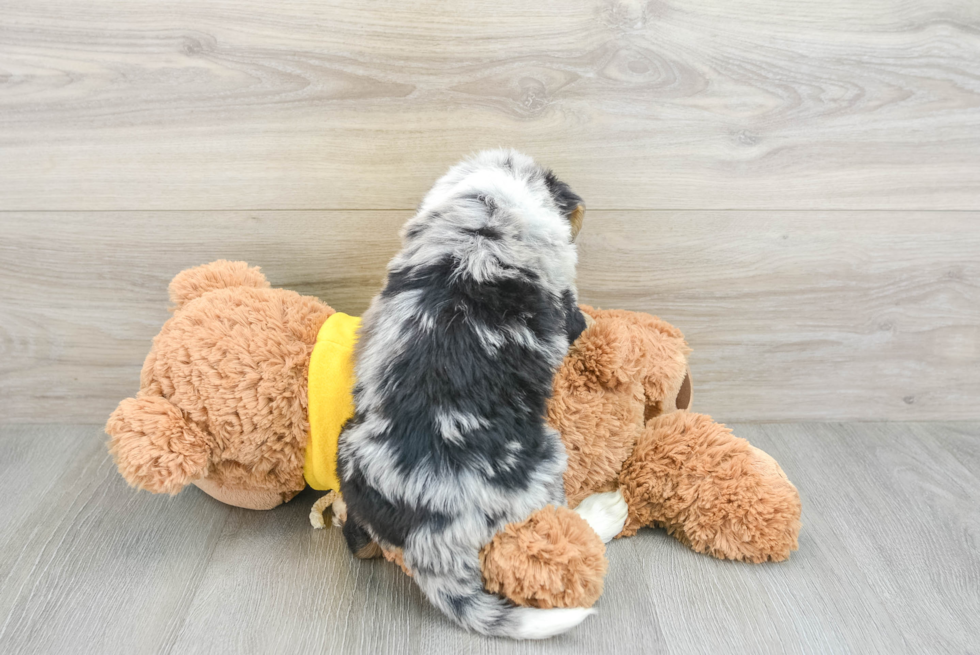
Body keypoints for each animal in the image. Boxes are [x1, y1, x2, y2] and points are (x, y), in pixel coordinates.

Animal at [334, 151, 596, 640]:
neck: (489, 212)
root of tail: (430, 530)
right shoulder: (565, 299)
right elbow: (577, 317)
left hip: (348, 451)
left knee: (360, 542)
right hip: (547, 464)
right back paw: (603, 510)